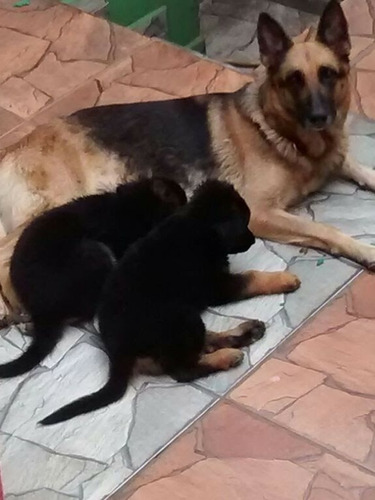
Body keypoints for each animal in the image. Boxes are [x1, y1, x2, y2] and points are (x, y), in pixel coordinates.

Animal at [0, 0, 374, 320]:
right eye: (294, 79)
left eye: (328, 74)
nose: (319, 117)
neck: (280, 131)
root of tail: (13, 149)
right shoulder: (261, 212)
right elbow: (324, 229)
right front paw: (364, 250)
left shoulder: (338, 160)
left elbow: (365, 171)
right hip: (56, 206)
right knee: (7, 252)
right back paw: (17, 307)